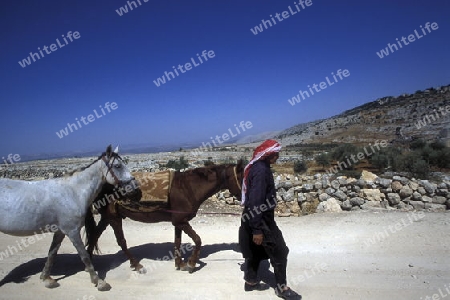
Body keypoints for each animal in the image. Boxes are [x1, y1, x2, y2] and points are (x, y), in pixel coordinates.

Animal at [0, 145, 135, 290]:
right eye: (118, 166)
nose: (134, 185)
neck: (73, 192)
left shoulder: (60, 231)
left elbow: (52, 253)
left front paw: (47, 278)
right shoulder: (72, 231)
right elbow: (84, 256)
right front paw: (98, 281)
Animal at [86, 162, 244, 274]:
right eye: (242, 177)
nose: (244, 199)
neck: (188, 188)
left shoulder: (178, 222)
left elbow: (177, 241)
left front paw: (180, 264)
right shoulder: (181, 221)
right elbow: (198, 240)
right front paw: (191, 264)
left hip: (107, 218)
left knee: (94, 236)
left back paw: (90, 265)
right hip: (114, 218)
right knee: (121, 242)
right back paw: (137, 265)